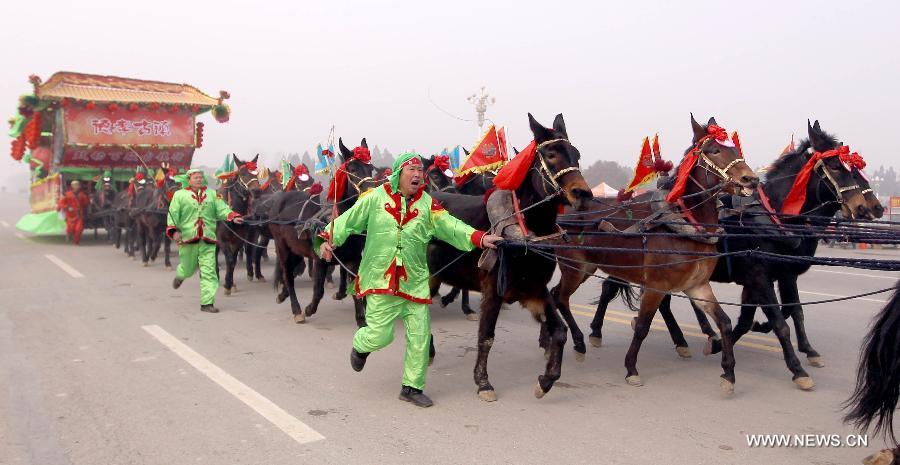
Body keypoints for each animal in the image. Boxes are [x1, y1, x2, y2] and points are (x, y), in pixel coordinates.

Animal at [216, 155, 262, 294]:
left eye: (256, 173)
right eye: (242, 173)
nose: (256, 191)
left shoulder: (237, 240)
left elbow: (233, 261)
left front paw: (230, 283)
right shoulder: (222, 239)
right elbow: (230, 259)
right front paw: (227, 284)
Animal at [428, 112, 596, 398]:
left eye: (576, 154)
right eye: (551, 154)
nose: (582, 194)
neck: (523, 233)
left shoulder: (534, 290)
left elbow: (559, 331)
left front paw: (546, 379)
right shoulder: (493, 290)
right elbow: (486, 336)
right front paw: (483, 382)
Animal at [552, 115, 756, 392]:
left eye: (735, 149)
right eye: (714, 150)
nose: (751, 179)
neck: (684, 225)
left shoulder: (697, 285)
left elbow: (723, 322)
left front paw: (728, 372)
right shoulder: (656, 286)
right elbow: (642, 326)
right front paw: (631, 368)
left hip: (588, 268)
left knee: (557, 294)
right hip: (574, 268)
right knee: (561, 298)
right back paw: (579, 342)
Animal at [588, 118, 876, 388]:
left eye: (855, 171)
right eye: (837, 167)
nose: (866, 207)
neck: (771, 219)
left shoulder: (778, 276)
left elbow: (784, 313)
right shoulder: (759, 276)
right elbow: (780, 322)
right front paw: (797, 368)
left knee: (663, 303)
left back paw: (685, 339)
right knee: (611, 289)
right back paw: (597, 332)